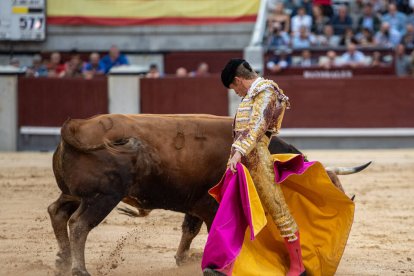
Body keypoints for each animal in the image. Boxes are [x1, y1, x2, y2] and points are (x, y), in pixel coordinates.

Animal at [47, 113, 368, 274]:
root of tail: (75, 126)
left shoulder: (196, 203)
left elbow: (189, 229)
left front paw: (183, 259)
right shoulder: (209, 205)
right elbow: (214, 230)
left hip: (74, 193)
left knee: (57, 211)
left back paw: (62, 260)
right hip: (102, 197)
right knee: (79, 225)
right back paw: (79, 269)